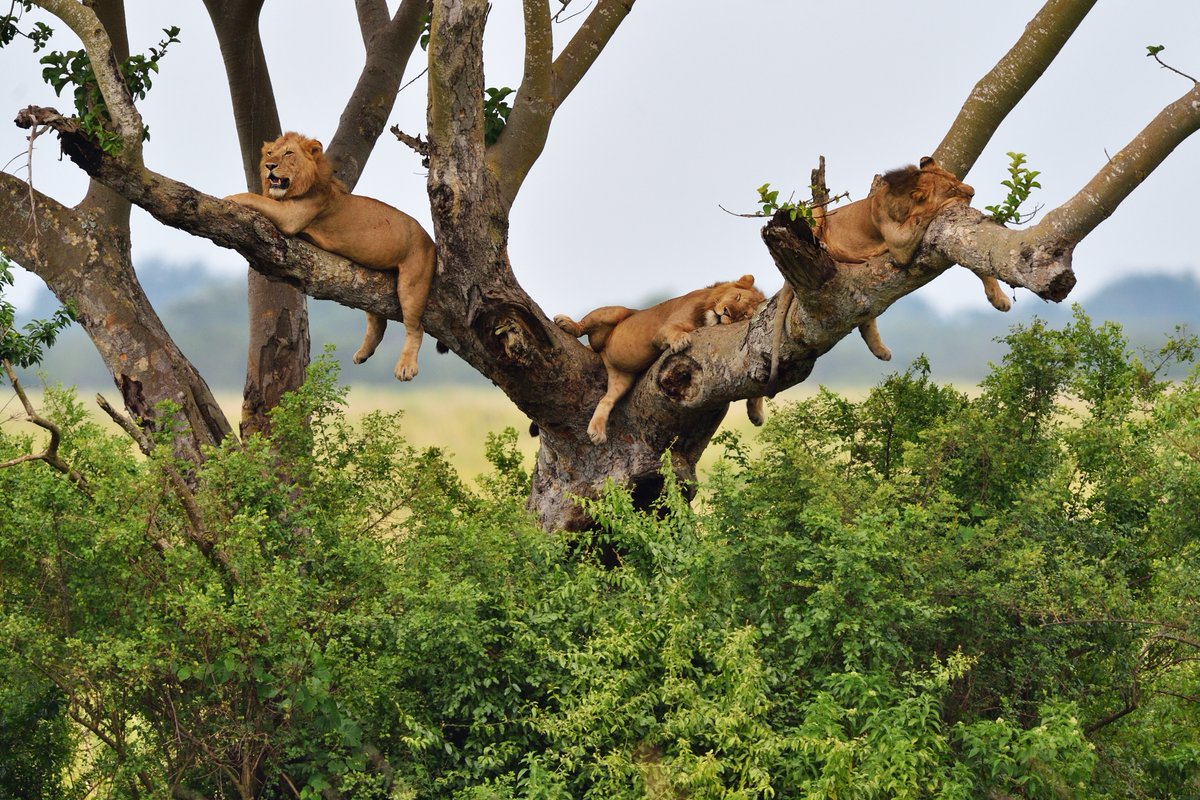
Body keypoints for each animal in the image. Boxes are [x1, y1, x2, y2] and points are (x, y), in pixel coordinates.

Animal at [225, 132, 436, 381]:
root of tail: (430, 240)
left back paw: (406, 367)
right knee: (378, 321)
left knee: (415, 327)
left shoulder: (291, 216)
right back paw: (363, 353)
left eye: (288, 153)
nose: (270, 166)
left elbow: (256, 198)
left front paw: (230, 196)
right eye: (269, 153)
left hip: (413, 282)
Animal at [555, 275, 767, 445]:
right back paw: (567, 324)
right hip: (615, 312)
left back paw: (597, 432)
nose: (726, 312)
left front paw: (756, 412)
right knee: (584, 324)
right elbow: (674, 331)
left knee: (607, 400)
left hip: (622, 378)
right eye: (737, 297)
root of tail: (603, 351)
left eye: (743, 314)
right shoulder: (664, 329)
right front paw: (681, 340)